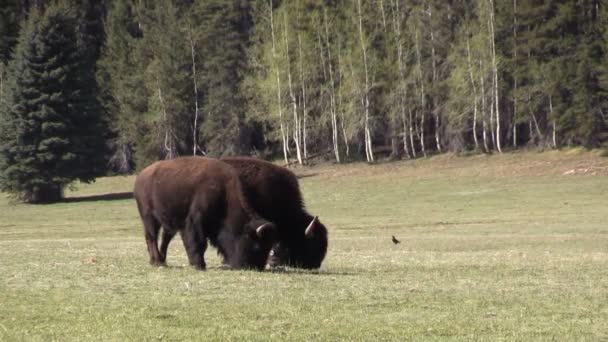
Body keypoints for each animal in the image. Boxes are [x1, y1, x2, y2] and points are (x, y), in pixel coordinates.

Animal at [134, 156, 278, 272]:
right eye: (256, 246)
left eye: (268, 247)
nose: (256, 267)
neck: (224, 193)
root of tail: (141, 176)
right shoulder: (196, 222)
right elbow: (199, 243)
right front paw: (199, 265)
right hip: (149, 217)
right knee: (152, 237)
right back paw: (157, 262)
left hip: (168, 222)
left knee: (165, 239)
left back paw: (161, 261)